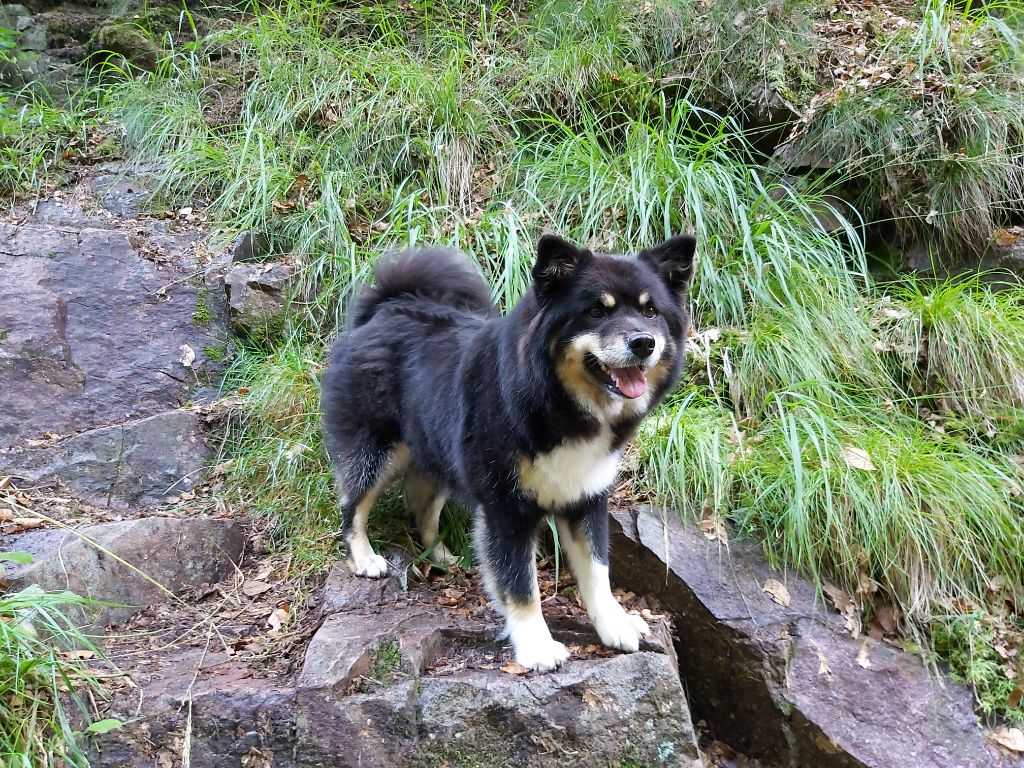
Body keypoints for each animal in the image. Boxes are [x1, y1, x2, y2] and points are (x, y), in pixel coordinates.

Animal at [321, 234, 696, 671]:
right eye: (595, 312)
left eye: (650, 311)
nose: (643, 343)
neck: (556, 402)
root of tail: (386, 308)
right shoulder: (507, 507)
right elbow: (520, 583)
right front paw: (536, 645)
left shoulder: (585, 498)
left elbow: (598, 571)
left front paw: (614, 624)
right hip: (375, 451)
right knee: (353, 506)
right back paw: (365, 558)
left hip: (439, 455)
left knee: (421, 507)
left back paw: (441, 556)